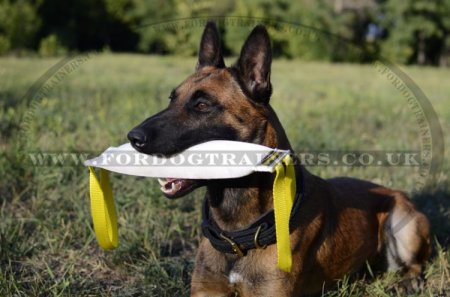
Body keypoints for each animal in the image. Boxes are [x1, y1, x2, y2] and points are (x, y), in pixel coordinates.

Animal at [128, 21, 430, 296]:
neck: (238, 234)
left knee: (416, 265)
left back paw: (408, 282)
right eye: (172, 99)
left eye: (202, 105)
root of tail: (394, 191)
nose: (133, 138)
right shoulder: (207, 289)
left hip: (403, 225)